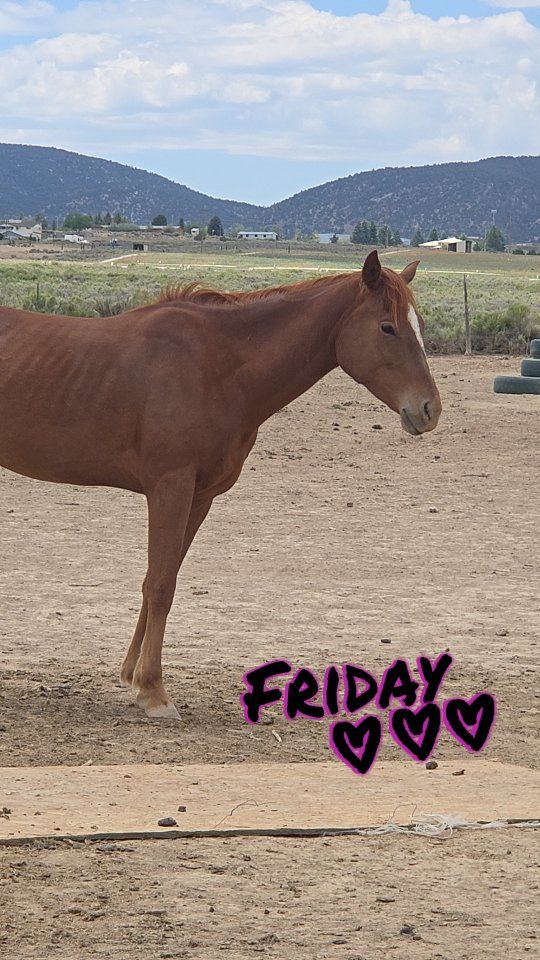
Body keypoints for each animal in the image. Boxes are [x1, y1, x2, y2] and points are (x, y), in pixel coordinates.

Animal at [0, 250, 441, 718]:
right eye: (387, 327)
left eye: (419, 324)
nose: (429, 409)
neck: (217, 365)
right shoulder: (170, 488)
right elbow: (161, 585)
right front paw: (154, 692)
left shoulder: (199, 496)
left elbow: (161, 577)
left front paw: (133, 676)